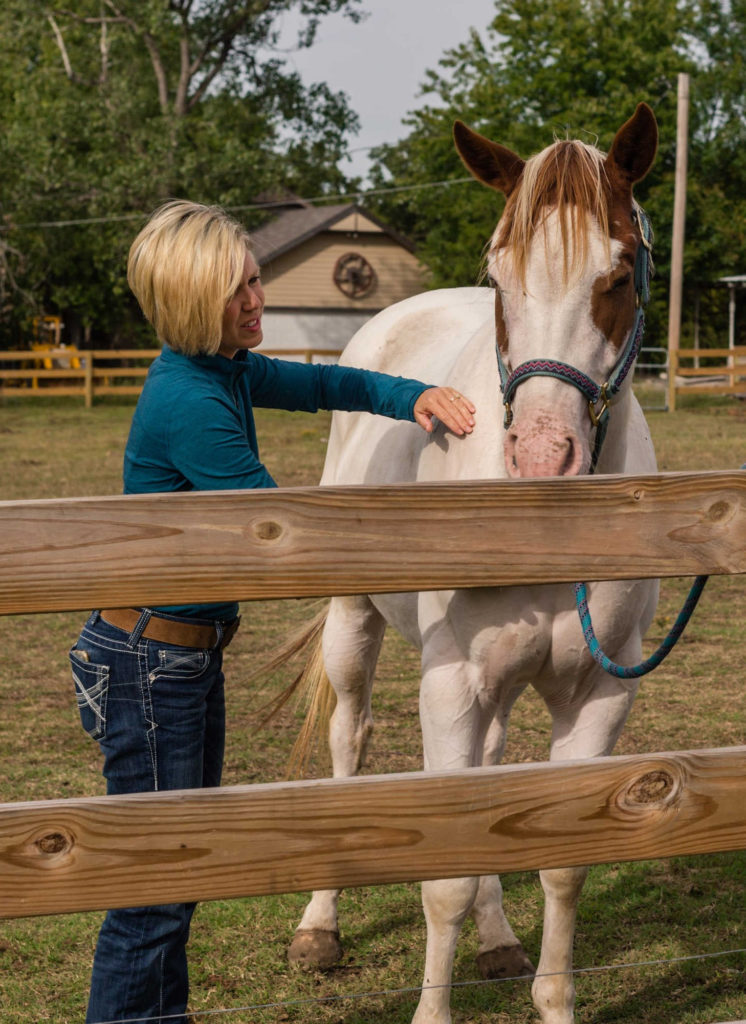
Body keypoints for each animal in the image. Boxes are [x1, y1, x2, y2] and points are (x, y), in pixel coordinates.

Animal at [278, 105, 659, 1024]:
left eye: (618, 273)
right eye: (499, 274)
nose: (543, 457)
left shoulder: (599, 695)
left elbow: (561, 864)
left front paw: (550, 998)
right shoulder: (450, 682)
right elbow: (443, 877)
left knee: (486, 775)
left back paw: (497, 939)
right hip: (357, 628)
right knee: (349, 743)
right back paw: (319, 927)